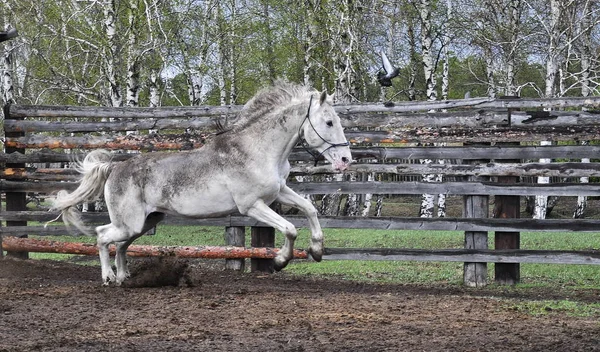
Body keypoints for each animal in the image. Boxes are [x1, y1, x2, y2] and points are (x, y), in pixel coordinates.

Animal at [52, 81, 352, 284]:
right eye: (328, 122)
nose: (345, 159)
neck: (257, 150)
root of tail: (115, 166)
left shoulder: (278, 193)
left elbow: (309, 209)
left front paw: (317, 250)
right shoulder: (251, 206)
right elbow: (289, 228)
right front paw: (280, 261)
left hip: (145, 222)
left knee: (121, 245)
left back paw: (124, 276)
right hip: (130, 223)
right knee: (102, 236)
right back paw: (108, 278)